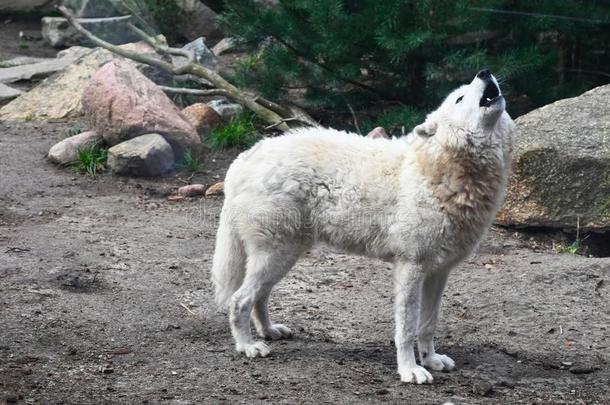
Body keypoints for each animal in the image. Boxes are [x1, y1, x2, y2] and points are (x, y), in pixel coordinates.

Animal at [211, 69, 510, 382]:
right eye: (460, 98)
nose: (485, 72)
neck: (439, 171)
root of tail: (243, 159)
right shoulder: (410, 268)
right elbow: (407, 329)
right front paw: (410, 370)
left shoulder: (439, 273)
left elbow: (428, 324)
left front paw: (431, 360)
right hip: (275, 255)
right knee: (239, 300)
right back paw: (248, 346)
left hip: (283, 256)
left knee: (259, 296)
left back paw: (269, 332)